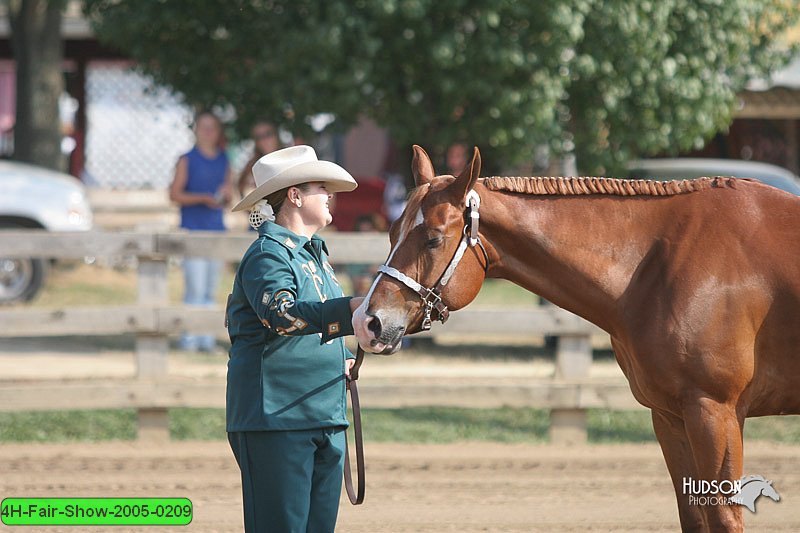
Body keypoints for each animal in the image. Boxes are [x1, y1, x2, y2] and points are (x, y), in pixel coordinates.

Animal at [354, 145, 800, 532]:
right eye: (392, 231)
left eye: (432, 237)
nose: (367, 321)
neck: (661, 261)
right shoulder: (671, 417)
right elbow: (694, 515)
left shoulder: (715, 413)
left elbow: (724, 517)